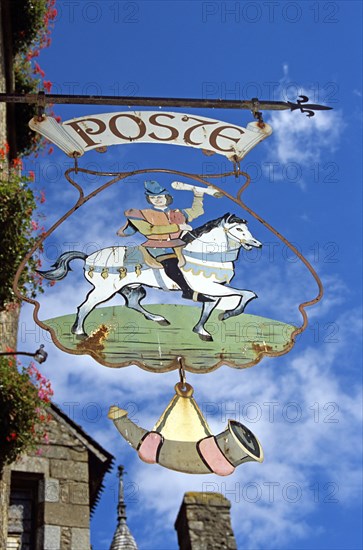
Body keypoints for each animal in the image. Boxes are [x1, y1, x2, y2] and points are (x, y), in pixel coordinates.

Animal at [39, 215, 262, 340]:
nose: (257, 244)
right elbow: (246, 294)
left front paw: (202, 330)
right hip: (104, 290)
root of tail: (88, 257)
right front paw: (229, 314)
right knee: (85, 306)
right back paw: (79, 333)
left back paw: (159, 319)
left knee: (132, 303)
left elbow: (209, 307)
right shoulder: (210, 287)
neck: (203, 254)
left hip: (133, 287)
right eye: (239, 229)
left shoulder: (211, 290)